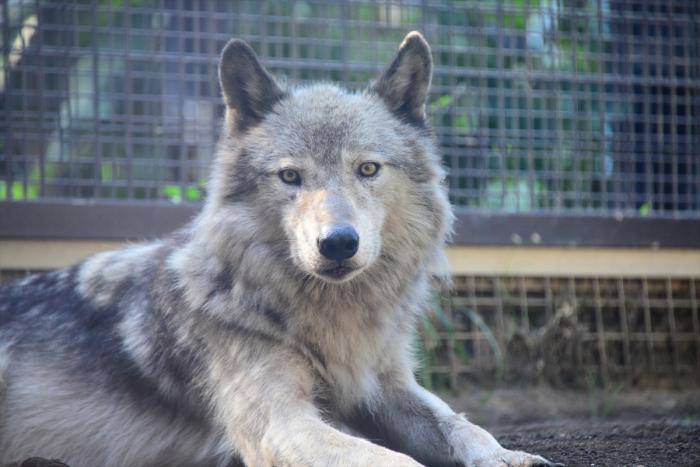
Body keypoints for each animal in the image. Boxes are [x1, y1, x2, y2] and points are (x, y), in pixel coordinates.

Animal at [0, 33, 556, 467]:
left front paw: (508, 455)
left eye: (368, 169)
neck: (328, 321)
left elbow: (464, 425)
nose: (338, 243)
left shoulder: (388, 387)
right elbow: (392, 458)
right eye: (290, 176)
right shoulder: (282, 423)